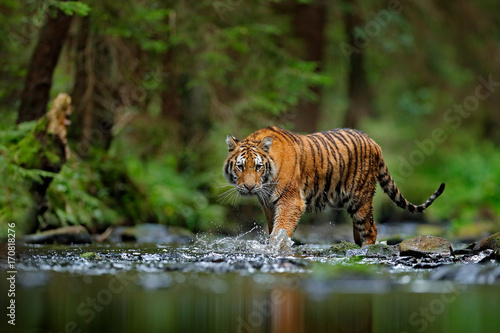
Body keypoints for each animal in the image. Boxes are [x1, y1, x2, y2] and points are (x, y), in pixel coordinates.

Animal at [223, 126, 446, 245]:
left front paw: (276, 248)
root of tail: (374, 142)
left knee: (371, 228)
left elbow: (281, 230)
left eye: (258, 167)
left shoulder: (290, 201)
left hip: (361, 198)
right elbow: (273, 229)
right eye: (240, 167)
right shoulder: (269, 204)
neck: (267, 182)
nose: (249, 187)